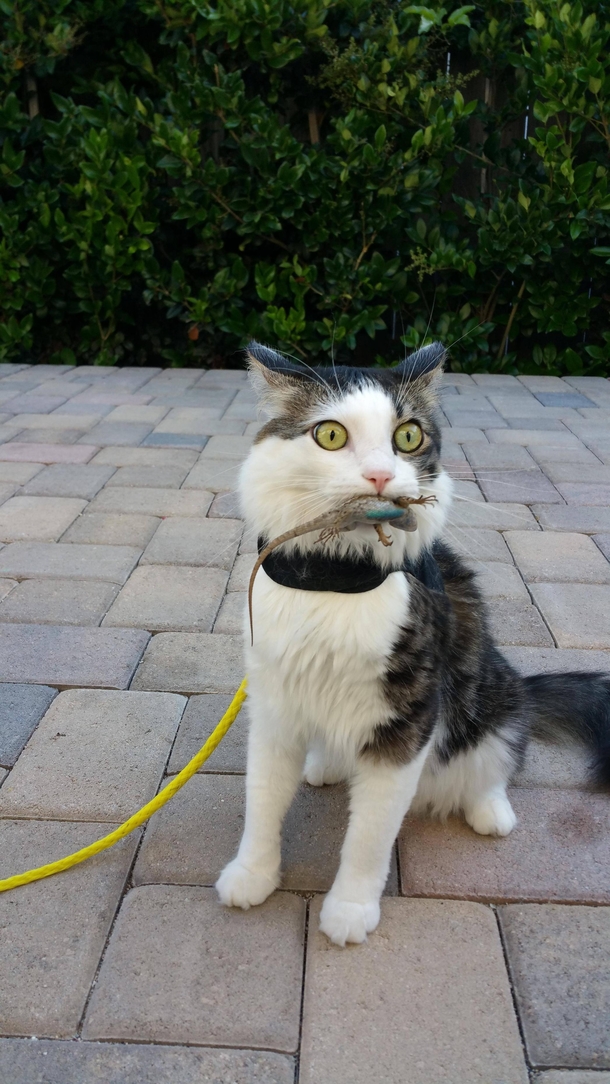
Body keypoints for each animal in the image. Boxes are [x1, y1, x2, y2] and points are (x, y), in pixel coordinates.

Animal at [216, 342, 610, 945]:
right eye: (330, 434)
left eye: (408, 436)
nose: (380, 476)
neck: (336, 579)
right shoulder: (273, 705)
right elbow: (261, 804)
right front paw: (251, 875)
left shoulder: (409, 720)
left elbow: (368, 838)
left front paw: (350, 910)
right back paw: (326, 763)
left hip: (491, 695)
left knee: (500, 756)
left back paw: (491, 813)